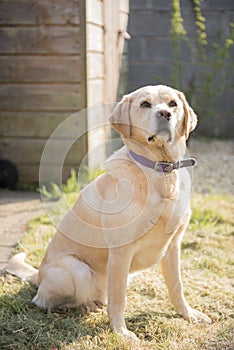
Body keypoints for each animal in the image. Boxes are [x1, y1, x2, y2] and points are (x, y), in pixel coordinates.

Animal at [6, 85, 212, 340]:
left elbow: (177, 287)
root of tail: (39, 274)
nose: (165, 114)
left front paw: (188, 314)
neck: (162, 171)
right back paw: (87, 305)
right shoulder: (121, 251)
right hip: (77, 270)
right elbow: (118, 298)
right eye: (145, 104)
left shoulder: (173, 246)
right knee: (43, 300)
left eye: (173, 104)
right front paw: (121, 331)